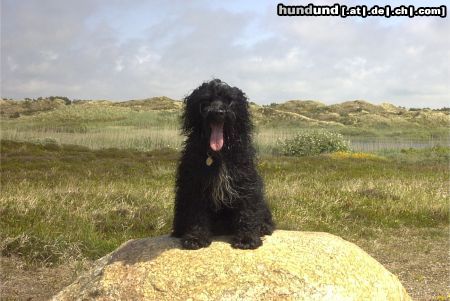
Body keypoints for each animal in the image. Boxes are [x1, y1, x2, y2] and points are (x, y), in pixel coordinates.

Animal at [171, 78, 274, 248]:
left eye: (229, 100)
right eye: (206, 101)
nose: (218, 113)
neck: (219, 155)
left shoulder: (245, 183)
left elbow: (247, 211)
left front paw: (247, 238)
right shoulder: (194, 186)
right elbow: (196, 213)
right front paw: (195, 237)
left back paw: (263, 227)